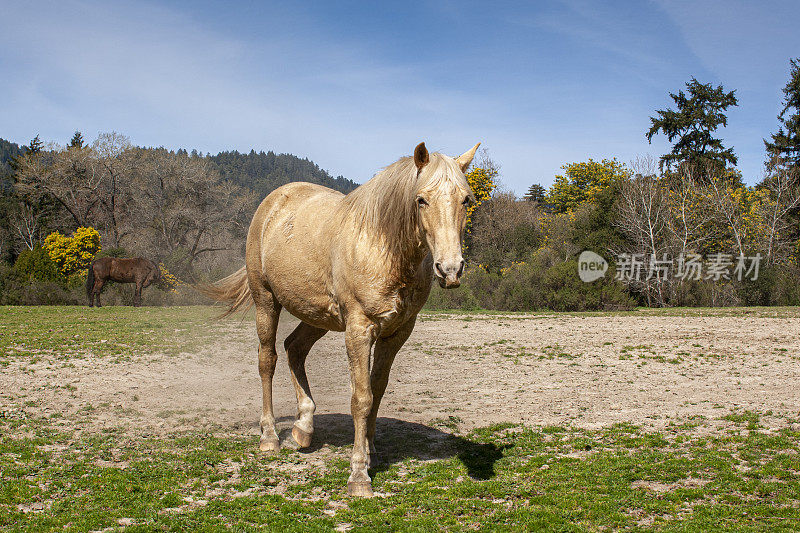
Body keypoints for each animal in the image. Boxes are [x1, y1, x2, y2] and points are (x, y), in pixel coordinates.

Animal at [203, 141, 478, 494]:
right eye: (421, 199)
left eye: (465, 199)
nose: (450, 269)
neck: (382, 246)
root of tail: (273, 202)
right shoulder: (359, 330)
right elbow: (361, 398)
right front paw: (359, 474)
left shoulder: (396, 334)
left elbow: (378, 390)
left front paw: (370, 450)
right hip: (266, 301)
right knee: (268, 360)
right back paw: (269, 437)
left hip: (317, 315)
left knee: (295, 348)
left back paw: (304, 426)